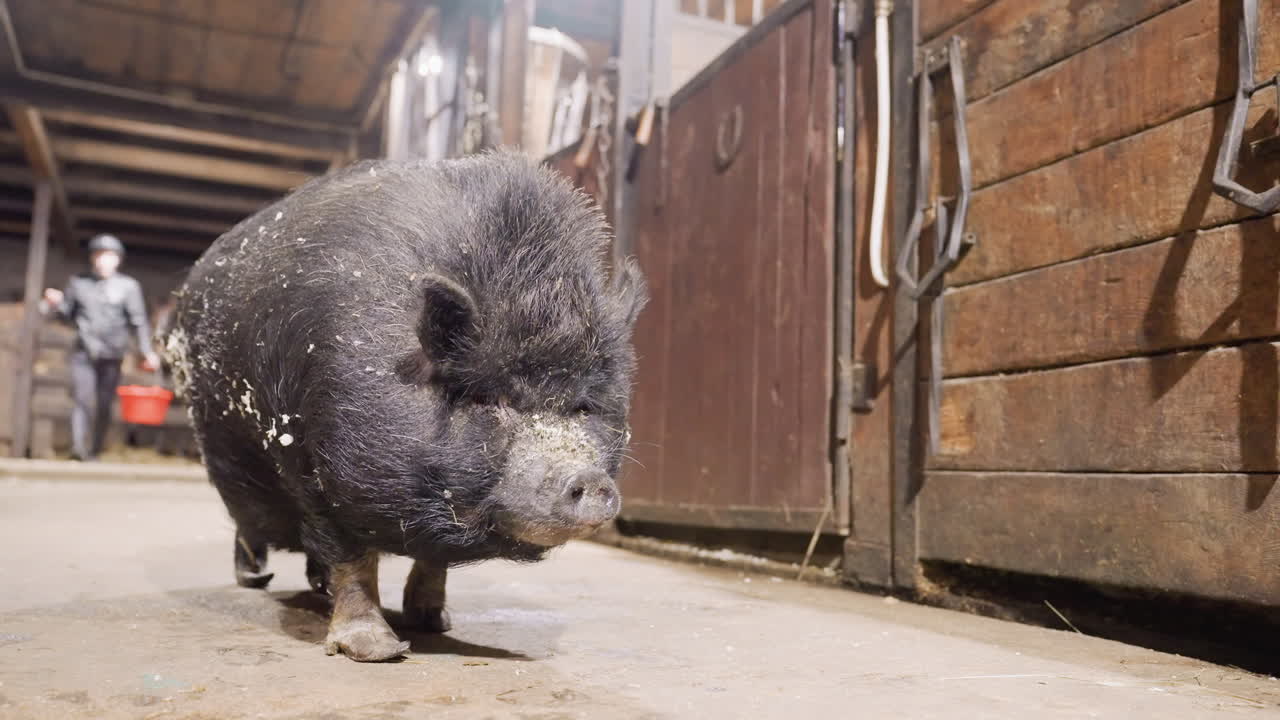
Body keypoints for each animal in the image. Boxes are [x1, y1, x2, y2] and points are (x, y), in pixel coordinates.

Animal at [162, 151, 646, 662]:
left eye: (584, 406)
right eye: (489, 398)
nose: (589, 478)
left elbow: (432, 561)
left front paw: (435, 622)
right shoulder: (312, 468)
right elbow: (352, 559)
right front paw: (379, 650)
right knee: (247, 527)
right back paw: (255, 579)